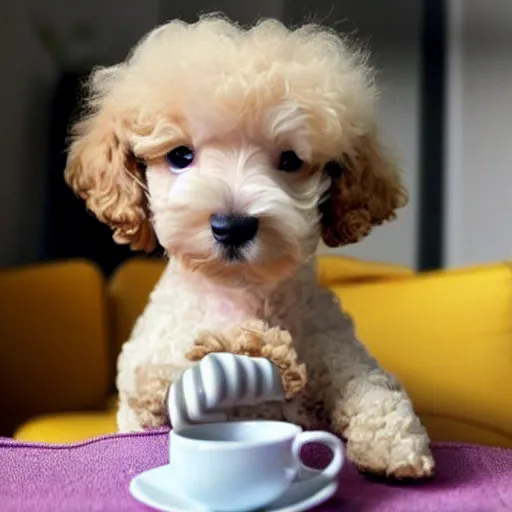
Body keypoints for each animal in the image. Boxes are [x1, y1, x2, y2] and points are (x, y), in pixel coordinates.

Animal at [62, 16, 434, 480]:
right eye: (180, 156)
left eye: (290, 161)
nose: (232, 226)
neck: (238, 294)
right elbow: (156, 390)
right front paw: (188, 381)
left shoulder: (333, 344)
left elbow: (370, 384)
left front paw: (396, 444)